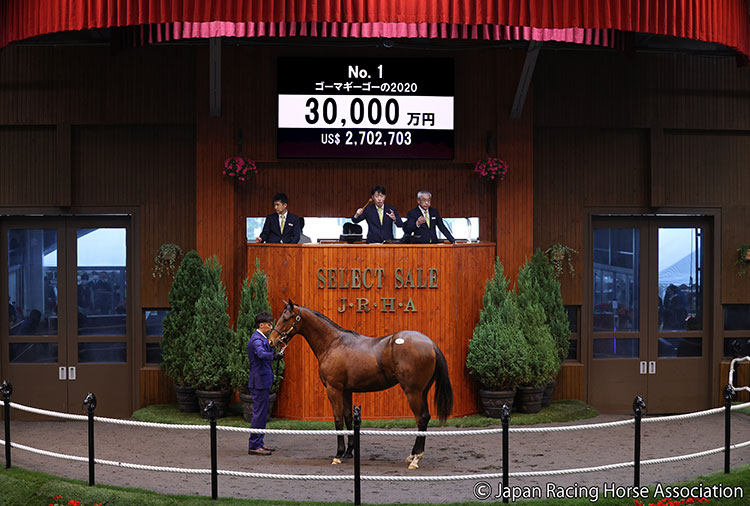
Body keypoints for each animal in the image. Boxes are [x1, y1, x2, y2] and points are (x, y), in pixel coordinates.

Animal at [270, 300, 452, 470]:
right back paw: (413, 455)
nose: (272, 341)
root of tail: (430, 344)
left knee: (421, 418)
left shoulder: (334, 389)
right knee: (425, 418)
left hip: (413, 392)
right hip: (422, 391)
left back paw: (416, 459)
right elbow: (348, 418)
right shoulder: (346, 391)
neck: (334, 343)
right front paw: (349, 452)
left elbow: (338, 420)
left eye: (286, 318)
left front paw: (338, 455)